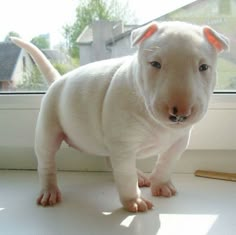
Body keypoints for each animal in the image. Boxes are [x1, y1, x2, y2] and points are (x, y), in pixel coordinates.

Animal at [11, 21, 229, 213]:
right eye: (155, 64)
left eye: (204, 67)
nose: (180, 114)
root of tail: (59, 80)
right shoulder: (124, 145)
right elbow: (125, 174)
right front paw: (133, 201)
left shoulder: (179, 140)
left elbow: (167, 161)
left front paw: (162, 184)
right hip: (48, 126)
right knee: (46, 160)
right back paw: (49, 191)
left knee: (110, 160)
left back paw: (140, 176)